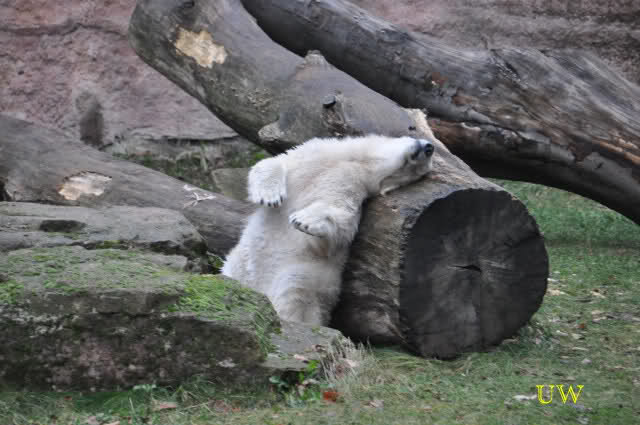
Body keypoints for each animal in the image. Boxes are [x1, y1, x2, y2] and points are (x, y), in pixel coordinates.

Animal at [222, 134, 435, 326]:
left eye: (416, 173)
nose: (429, 148)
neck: (359, 162)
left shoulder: (352, 187)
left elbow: (340, 219)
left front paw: (303, 221)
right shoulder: (317, 155)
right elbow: (274, 163)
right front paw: (270, 196)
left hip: (302, 272)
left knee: (294, 293)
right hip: (237, 263)